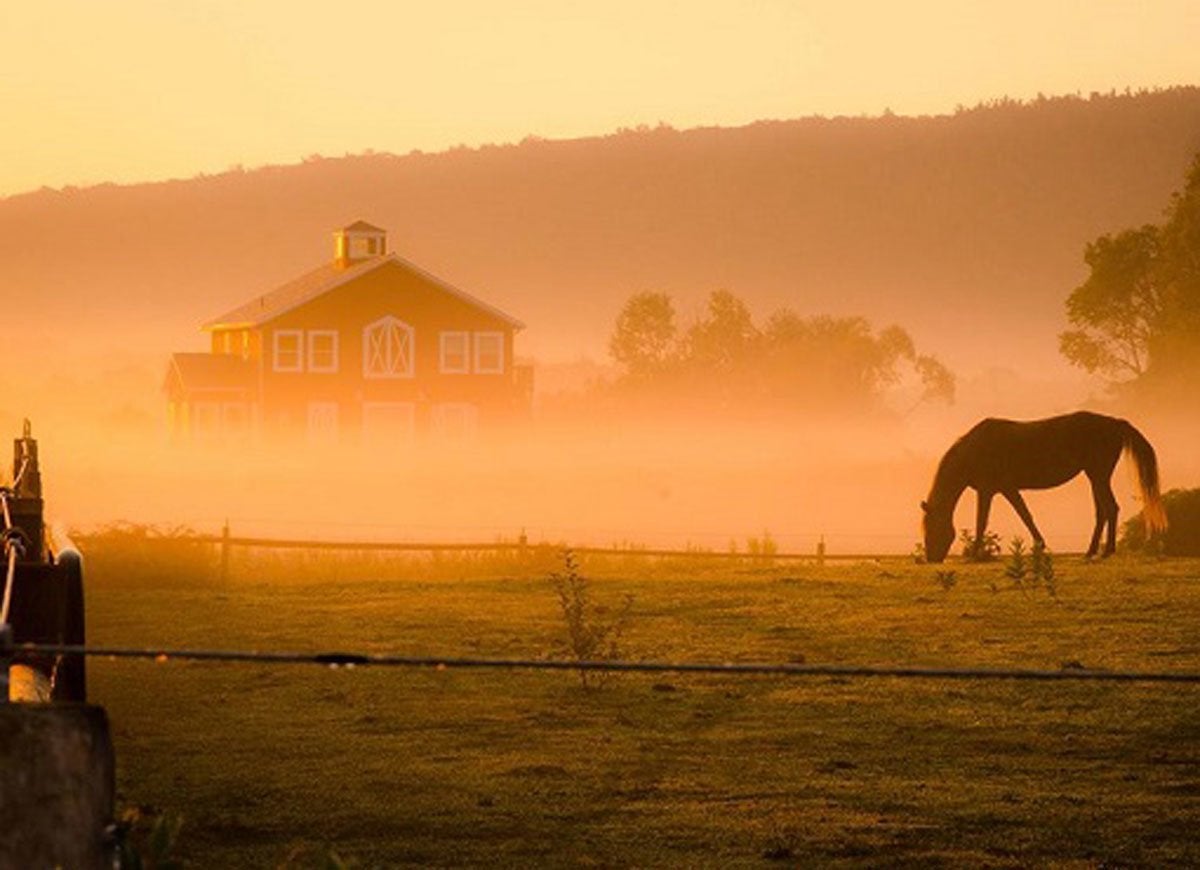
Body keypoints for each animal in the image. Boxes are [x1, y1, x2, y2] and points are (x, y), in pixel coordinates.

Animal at [916, 412, 1161, 564]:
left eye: (931, 528)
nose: (931, 558)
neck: (974, 451)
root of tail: (1116, 423)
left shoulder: (989, 490)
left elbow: (983, 521)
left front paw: (976, 553)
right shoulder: (1007, 489)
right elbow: (1025, 515)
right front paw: (1040, 545)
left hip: (1098, 476)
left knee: (1111, 508)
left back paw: (1106, 551)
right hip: (1095, 477)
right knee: (1102, 511)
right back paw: (1092, 551)